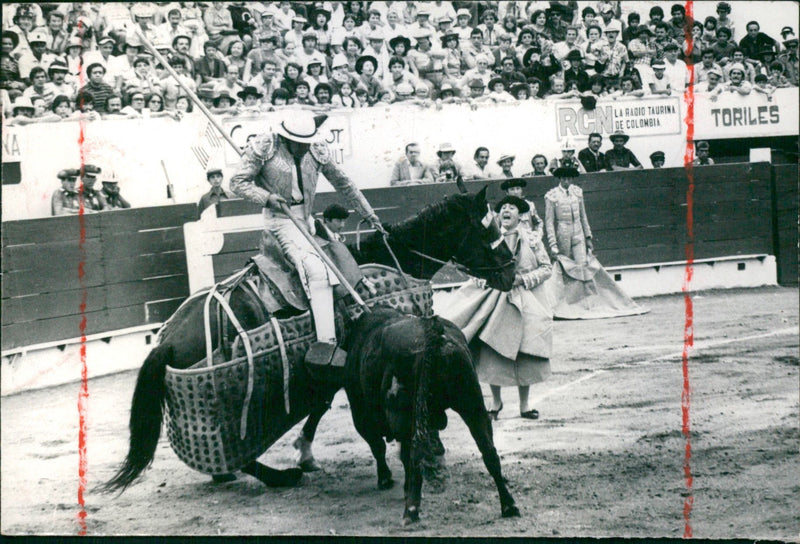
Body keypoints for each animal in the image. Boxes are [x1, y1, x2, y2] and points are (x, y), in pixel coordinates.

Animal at [342, 306, 520, 524]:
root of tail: (433, 334)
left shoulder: (361, 415)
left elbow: (379, 447)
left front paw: (385, 479)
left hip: (407, 415)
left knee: (413, 456)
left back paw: (411, 509)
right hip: (473, 403)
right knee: (489, 452)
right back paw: (509, 505)